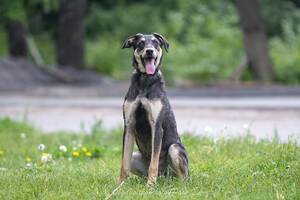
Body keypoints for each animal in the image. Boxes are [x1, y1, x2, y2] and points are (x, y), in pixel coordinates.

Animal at [118, 32, 189, 185]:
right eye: (141, 44)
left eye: (156, 43)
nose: (149, 51)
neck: (145, 80)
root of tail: (165, 176)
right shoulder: (129, 125)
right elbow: (124, 163)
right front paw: (119, 185)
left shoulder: (156, 126)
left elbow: (154, 163)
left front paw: (150, 185)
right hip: (135, 155)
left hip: (175, 149)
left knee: (183, 177)